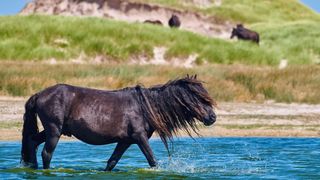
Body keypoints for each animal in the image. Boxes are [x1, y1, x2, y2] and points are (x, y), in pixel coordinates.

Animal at [21, 75, 216, 171]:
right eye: (198, 97)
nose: (212, 117)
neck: (144, 107)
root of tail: (39, 94)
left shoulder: (125, 141)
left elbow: (112, 162)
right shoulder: (139, 137)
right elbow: (152, 160)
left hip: (52, 130)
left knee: (32, 142)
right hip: (54, 131)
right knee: (46, 153)